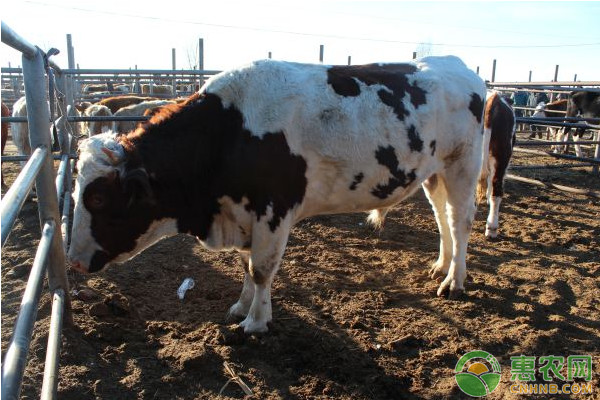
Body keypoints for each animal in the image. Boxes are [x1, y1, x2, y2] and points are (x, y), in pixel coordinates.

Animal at [67, 56, 488, 334]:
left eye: (99, 199)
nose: (72, 261)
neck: (228, 132)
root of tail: (458, 65)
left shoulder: (273, 210)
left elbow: (261, 269)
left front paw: (256, 321)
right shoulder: (242, 212)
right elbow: (245, 265)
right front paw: (240, 307)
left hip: (463, 164)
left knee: (460, 220)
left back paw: (454, 281)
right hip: (433, 173)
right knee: (442, 216)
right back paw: (441, 265)